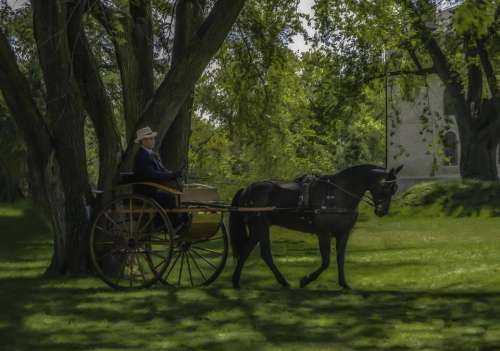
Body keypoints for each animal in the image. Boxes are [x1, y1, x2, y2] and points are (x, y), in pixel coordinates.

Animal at [229, 164, 402, 290]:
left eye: (394, 189)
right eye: (385, 187)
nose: (382, 211)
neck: (336, 194)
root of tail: (246, 189)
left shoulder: (343, 233)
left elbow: (340, 259)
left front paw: (344, 283)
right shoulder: (323, 233)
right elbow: (326, 261)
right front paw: (305, 280)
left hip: (260, 228)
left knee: (254, 252)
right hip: (260, 226)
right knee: (256, 252)